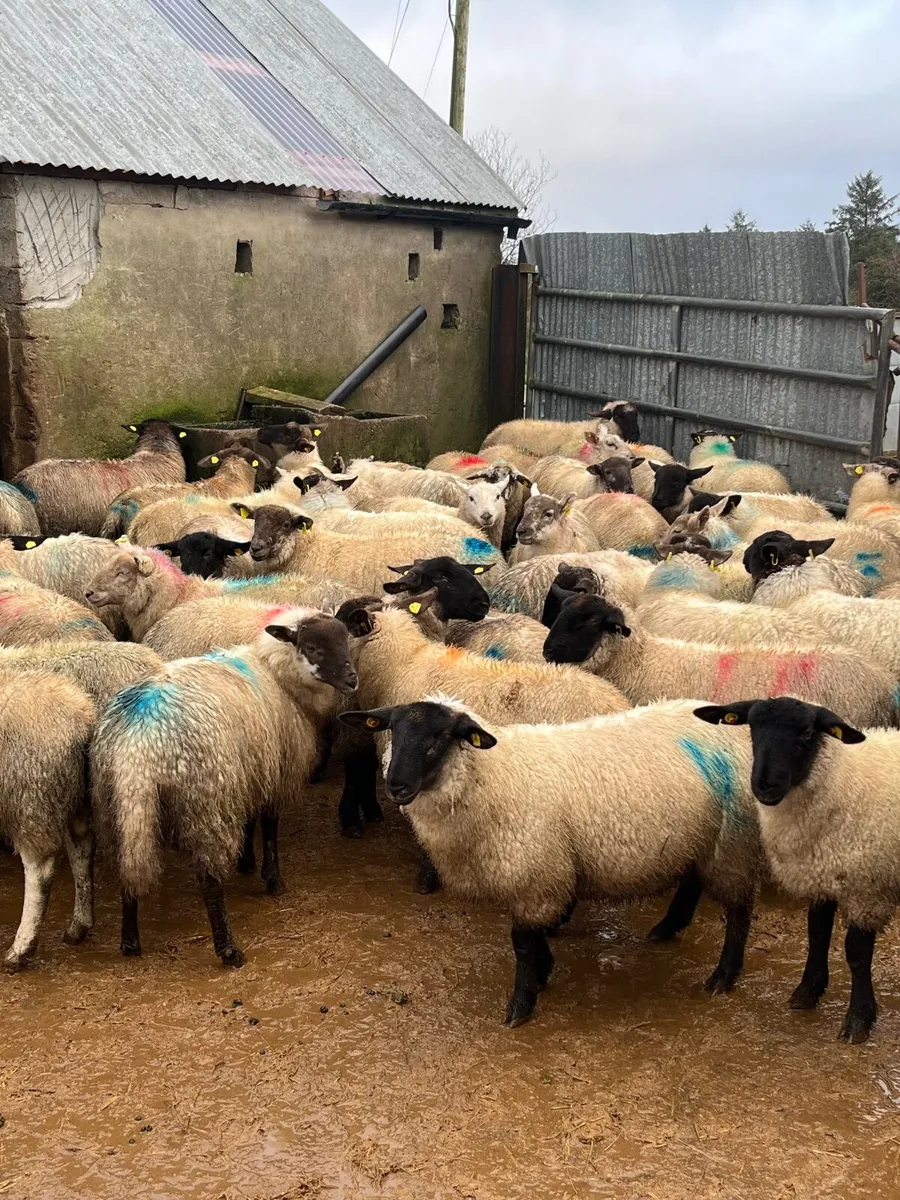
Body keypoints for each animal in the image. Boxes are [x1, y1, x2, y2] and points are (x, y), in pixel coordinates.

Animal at [0, 669, 95, 968]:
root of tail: (82, 716)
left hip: (30, 798)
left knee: (39, 872)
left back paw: (20, 950)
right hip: (72, 798)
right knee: (82, 850)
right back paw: (78, 927)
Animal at [92, 612, 359, 964]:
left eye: (345, 639)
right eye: (313, 647)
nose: (353, 680)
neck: (275, 672)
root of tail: (139, 742)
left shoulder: (251, 769)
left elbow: (249, 820)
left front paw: (246, 861)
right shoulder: (275, 772)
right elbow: (269, 826)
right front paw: (272, 879)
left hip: (114, 806)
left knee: (128, 869)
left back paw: (130, 942)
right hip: (206, 800)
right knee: (209, 878)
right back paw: (228, 949)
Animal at [341, 695, 760, 1025]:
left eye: (440, 737)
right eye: (393, 729)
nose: (396, 786)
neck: (492, 776)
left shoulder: (535, 872)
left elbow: (522, 941)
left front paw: (523, 1003)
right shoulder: (541, 875)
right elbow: (533, 934)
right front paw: (544, 971)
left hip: (734, 842)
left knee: (739, 910)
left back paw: (724, 976)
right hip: (700, 837)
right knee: (692, 880)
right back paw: (669, 927)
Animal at [694, 696, 900, 1042]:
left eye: (806, 733)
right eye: (753, 726)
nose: (764, 786)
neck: (840, 780)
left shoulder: (867, 887)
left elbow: (856, 953)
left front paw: (859, 1020)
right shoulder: (821, 873)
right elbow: (816, 934)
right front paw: (807, 991)